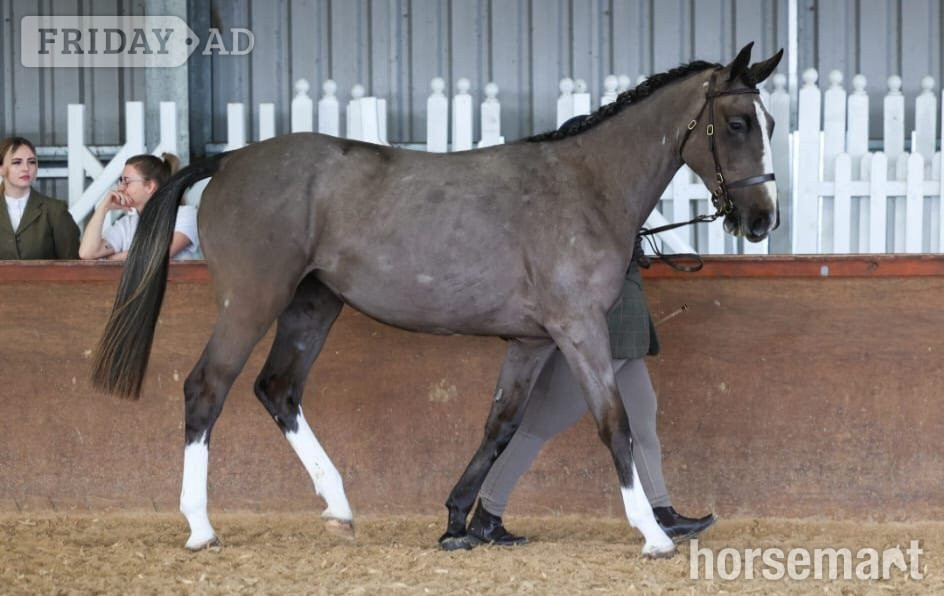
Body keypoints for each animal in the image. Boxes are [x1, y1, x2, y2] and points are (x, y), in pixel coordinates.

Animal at [91, 42, 782, 558]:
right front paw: (653, 535)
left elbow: (503, 425)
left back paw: (339, 508)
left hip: (313, 305)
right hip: (252, 302)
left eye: (770, 123)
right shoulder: (580, 328)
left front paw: (458, 523)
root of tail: (229, 159)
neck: (586, 186)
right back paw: (201, 527)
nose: (761, 220)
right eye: (738, 123)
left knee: (278, 388)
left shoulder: (532, 341)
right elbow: (615, 424)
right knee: (207, 388)